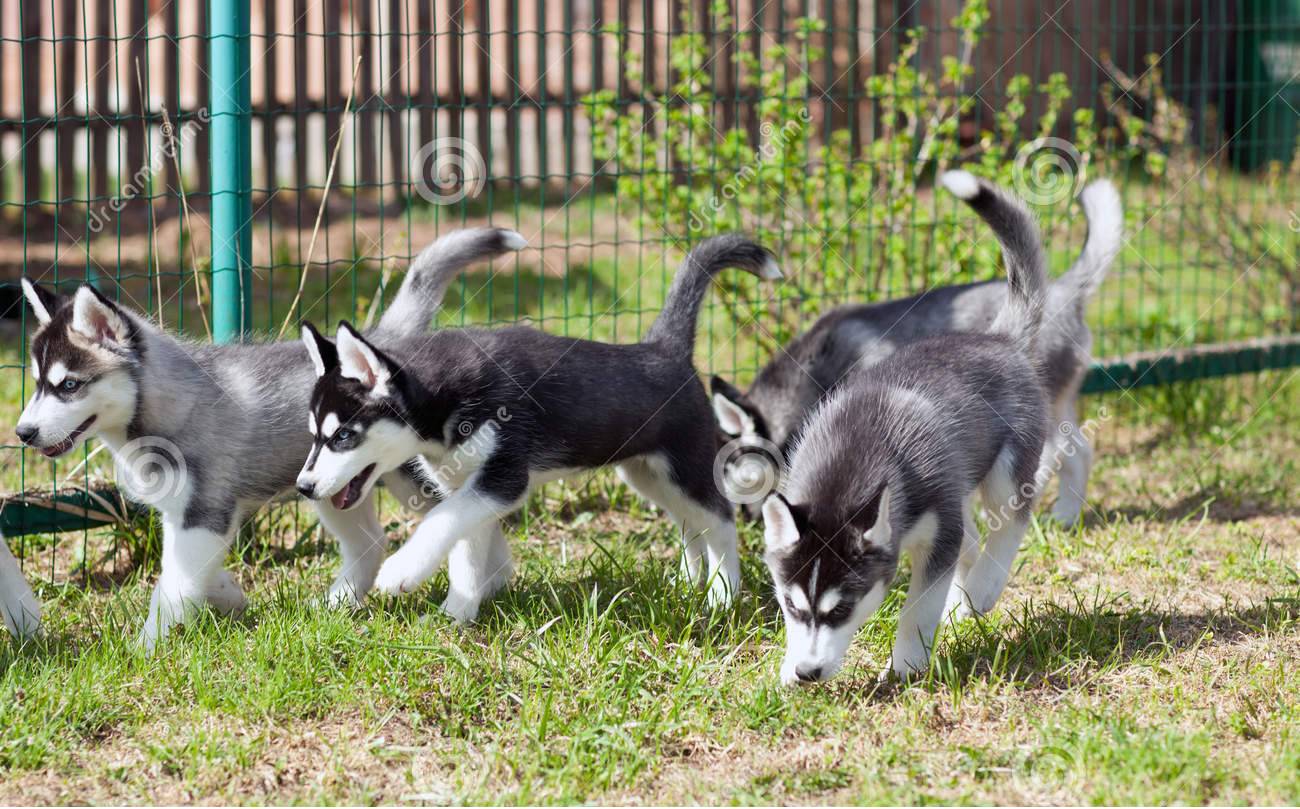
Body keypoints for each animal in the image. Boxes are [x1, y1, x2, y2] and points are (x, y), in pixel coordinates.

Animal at [15, 230, 522, 652]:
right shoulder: (184, 515)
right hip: (330, 483)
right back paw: (340, 604)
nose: (23, 433)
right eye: (37, 383)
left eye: (69, 385)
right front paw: (228, 595)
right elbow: (185, 572)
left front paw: (145, 648)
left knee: (467, 515)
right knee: (372, 542)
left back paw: (486, 583)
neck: (167, 407)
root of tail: (389, 339)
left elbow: (173, 586)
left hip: (408, 471)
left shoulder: (205, 513)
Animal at [296, 234, 780, 621]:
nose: (303, 487)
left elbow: (439, 520)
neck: (445, 401)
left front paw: (403, 570)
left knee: (720, 519)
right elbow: (465, 547)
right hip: (647, 474)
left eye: (343, 436)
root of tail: (664, 348)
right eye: (314, 435)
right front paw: (456, 616)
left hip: (685, 469)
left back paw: (722, 595)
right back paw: (690, 580)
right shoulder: (467, 487)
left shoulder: (503, 479)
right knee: (689, 523)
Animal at [707, 179, 1123, 525]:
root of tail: (1065, 290)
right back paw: (1065, 516)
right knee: (1080, 451)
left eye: (741, 481)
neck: (816, 365)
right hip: (1059, 403)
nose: (746, 522)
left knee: (1053, 453)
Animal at [764, 171, 1050, 686]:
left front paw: (907, 664)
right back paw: (964, 599)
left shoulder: (938, 528)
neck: (852, 455)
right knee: (971, 539)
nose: (807, 673)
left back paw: (984, 588)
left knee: (1013, 517)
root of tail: (997, 338)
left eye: (842, 611)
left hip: (1007, 468)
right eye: (792, 607)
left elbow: (917, 606)